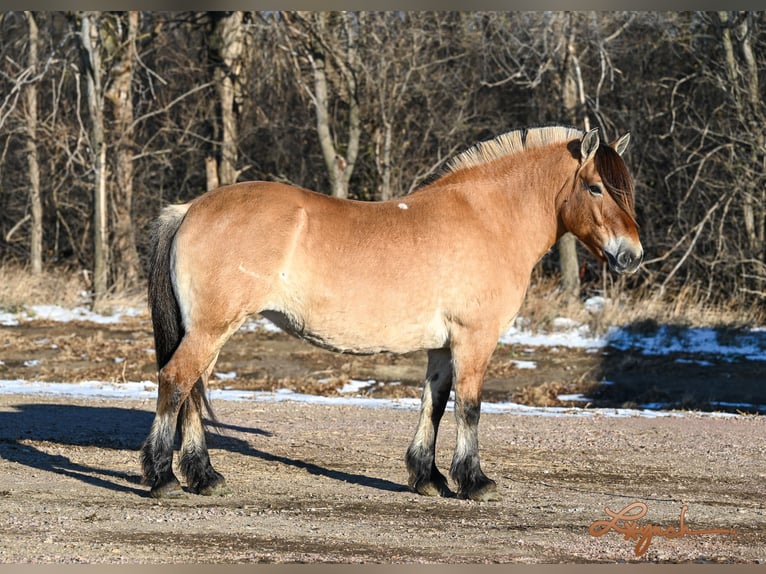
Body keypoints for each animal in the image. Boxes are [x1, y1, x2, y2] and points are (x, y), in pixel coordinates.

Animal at [140, 124, 640, 502]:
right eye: (596, 187)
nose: (630, 256)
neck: (487, 220)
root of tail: (190, 209)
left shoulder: (442, 346)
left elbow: (433, 404)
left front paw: (428, 477)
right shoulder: (473, 339)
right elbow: (470, 407)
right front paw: (474, 482)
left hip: (208, 331)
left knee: (191, 391)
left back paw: (204, 476)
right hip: (212, 328)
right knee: (176, 382)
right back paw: (163, 478)